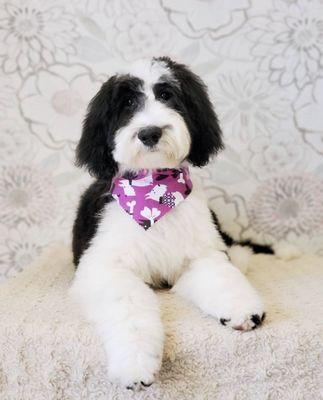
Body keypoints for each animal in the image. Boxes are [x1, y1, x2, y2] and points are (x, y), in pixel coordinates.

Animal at [71, 57, 274, 390]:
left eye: (167, 95)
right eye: (128, 103)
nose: (150, 132)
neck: (154, 195)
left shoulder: (199, 253)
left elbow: (221, 275)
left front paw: (242, 309)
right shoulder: (103, 267)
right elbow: (128, 305)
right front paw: (135, 363)